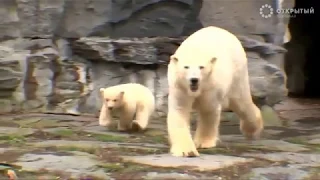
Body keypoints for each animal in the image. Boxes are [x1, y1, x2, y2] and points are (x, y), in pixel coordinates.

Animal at [166, 26, 264, 157]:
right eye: (186, 67)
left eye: (201, 67)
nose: (194, 80)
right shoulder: (179, 87)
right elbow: (179, 110)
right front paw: (187, 151)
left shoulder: (211, 86)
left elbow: (208, 110)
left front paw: (203, 143)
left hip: (237, 72)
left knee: (241, 102)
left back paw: (251, 130)